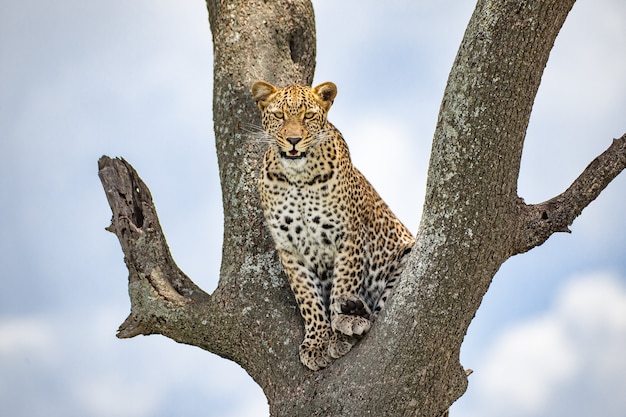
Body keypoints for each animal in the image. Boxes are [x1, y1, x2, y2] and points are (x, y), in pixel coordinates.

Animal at [249, 81, 414, 370]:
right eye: (279, 115)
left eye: (308, 116)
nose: (293, 140)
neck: (298, 179)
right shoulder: (289, 249)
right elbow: (308, 299)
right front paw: (316, 343)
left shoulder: (348, 237)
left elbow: (343, 284)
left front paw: (340, 330)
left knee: (379, 311)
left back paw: (355, 315)